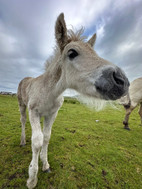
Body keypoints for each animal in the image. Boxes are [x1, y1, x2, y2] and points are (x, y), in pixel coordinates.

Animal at [17, 12, 129, 188]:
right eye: (72, 53)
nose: (121, 81)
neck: (49, 92)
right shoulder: (33, 111)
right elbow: (37, 141)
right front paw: (32, 178)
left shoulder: (52, 114)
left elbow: (46, 137)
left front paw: (45, 164)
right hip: (22, 105)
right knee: (22, 121)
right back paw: (22, 141)